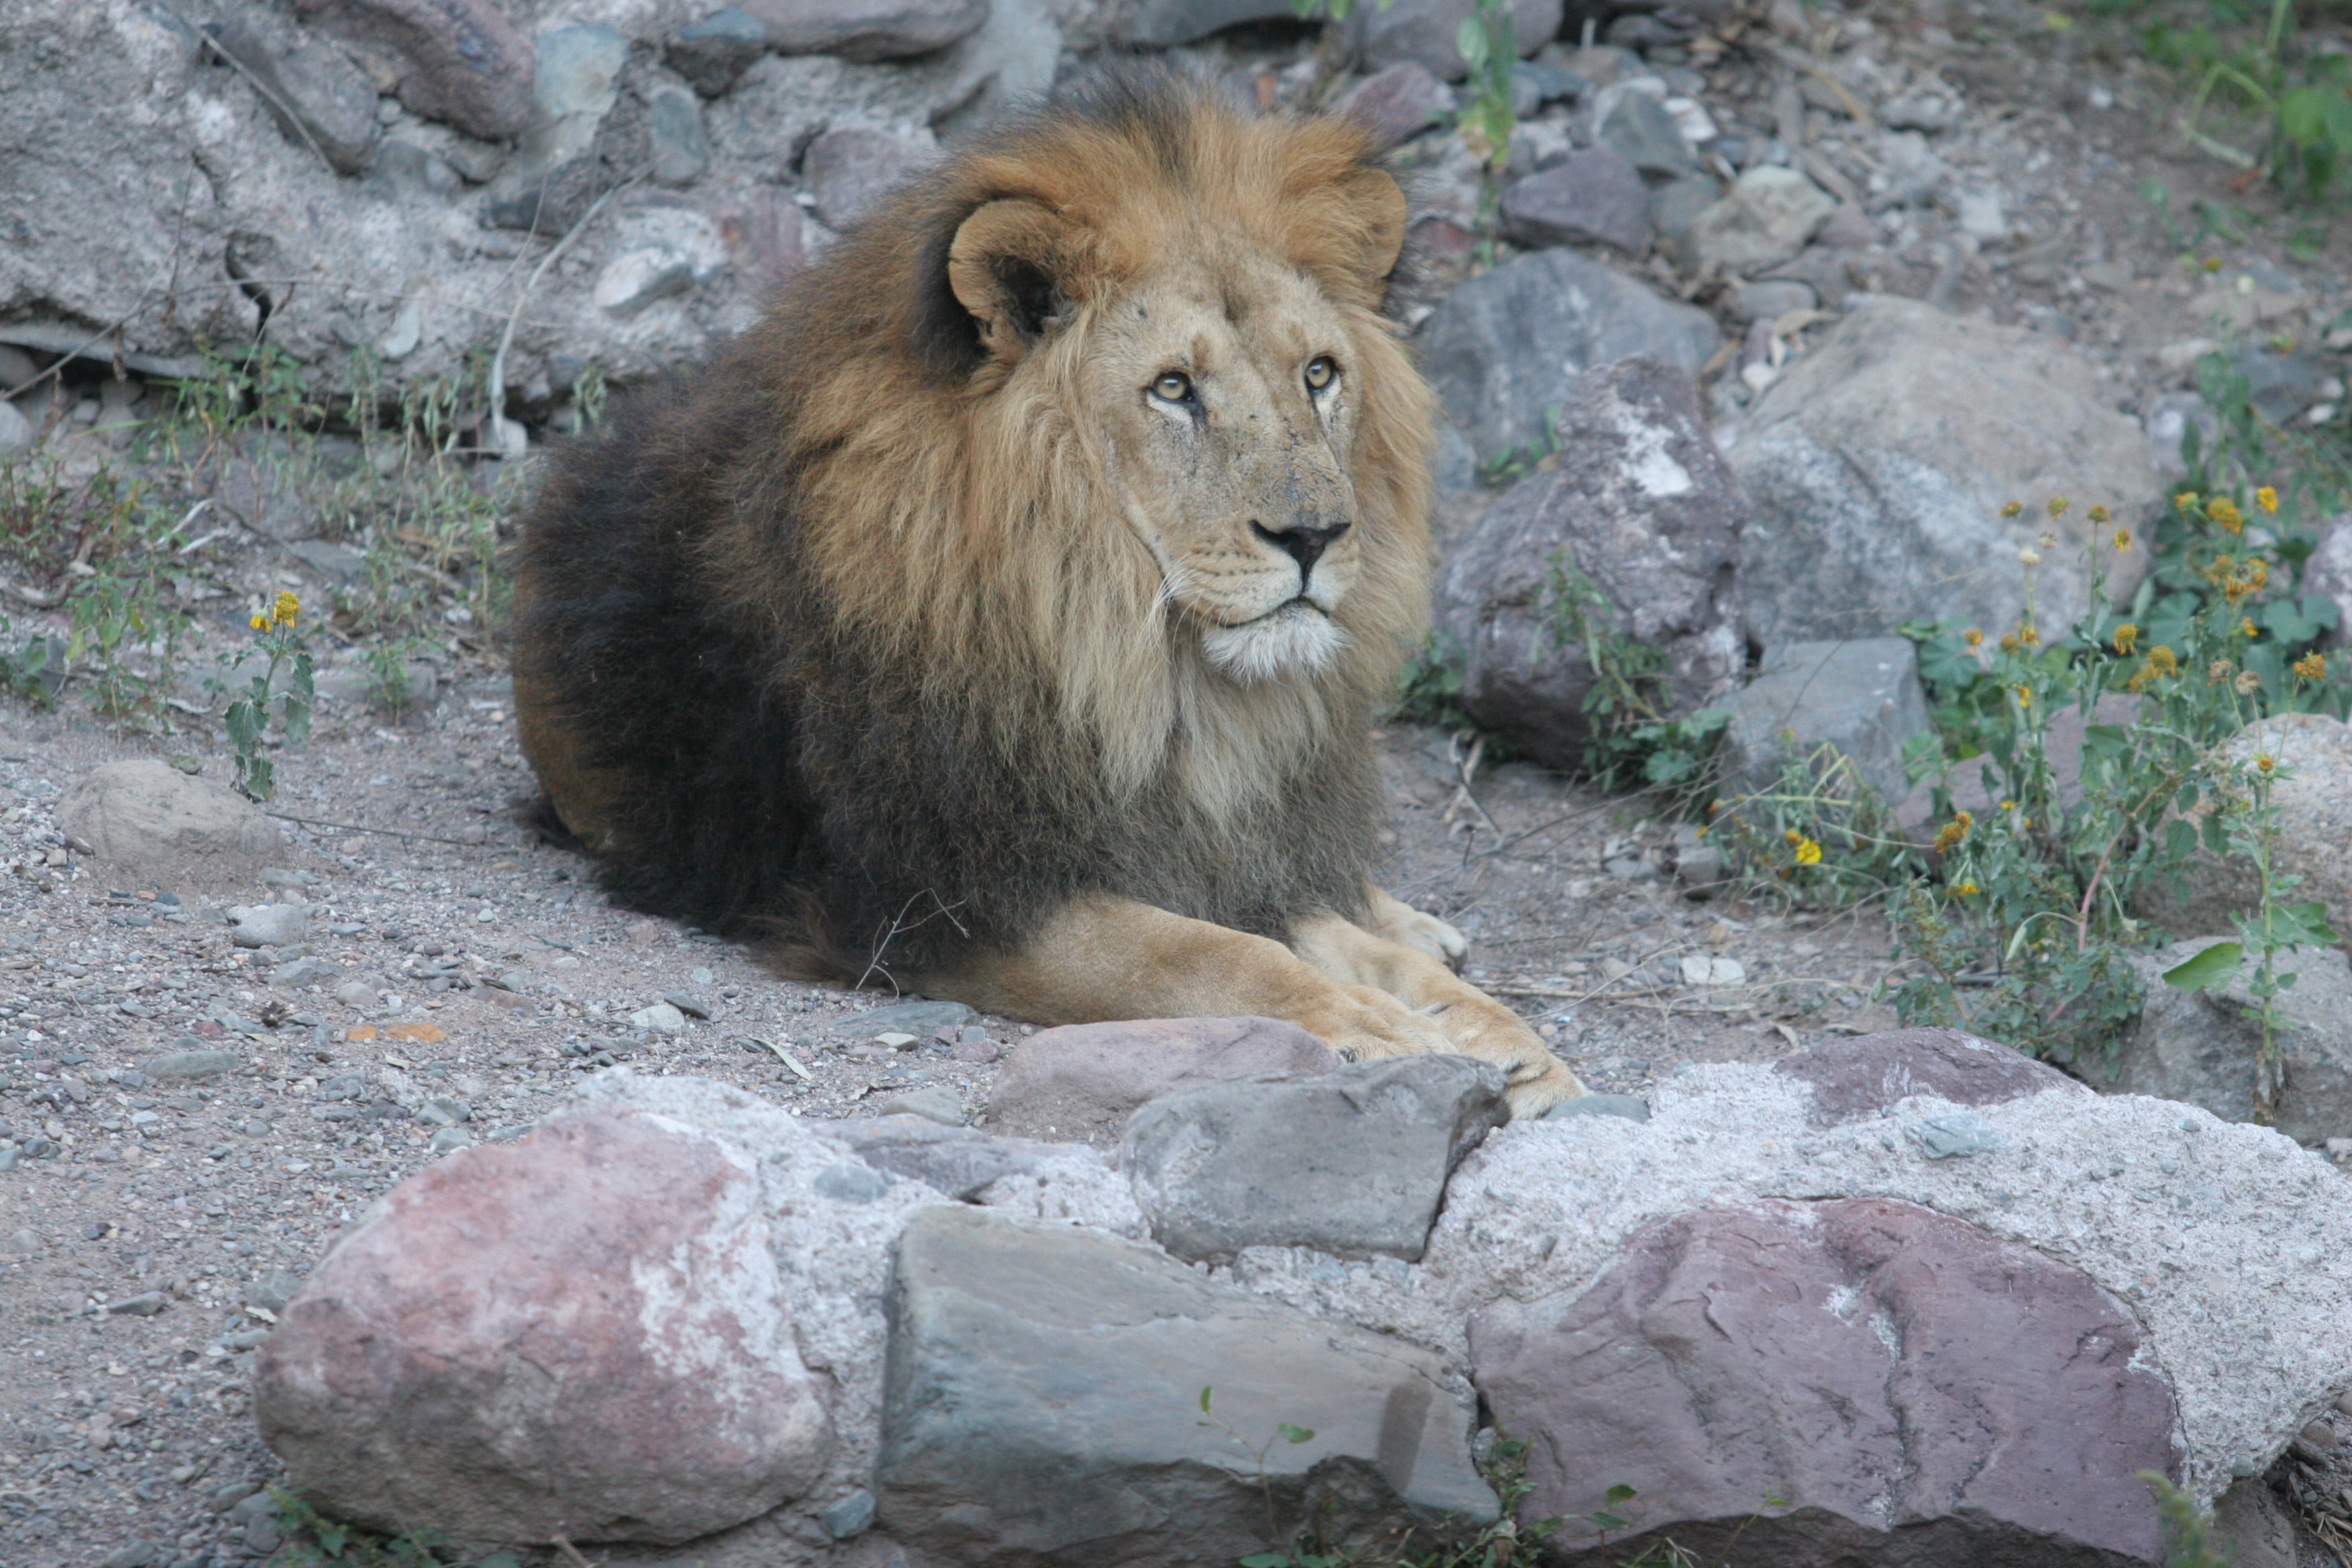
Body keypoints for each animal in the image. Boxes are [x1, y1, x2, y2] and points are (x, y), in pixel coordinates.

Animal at [512, 61, 1580, 1114]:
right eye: (1173, 389)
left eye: (1319, 374)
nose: (1316, 535)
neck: (1143, 671)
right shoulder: (934, 895)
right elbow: (1202, 954)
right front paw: (1373, 1027)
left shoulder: (1207, 839)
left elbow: (1327, 936)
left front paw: (1497, 1034)